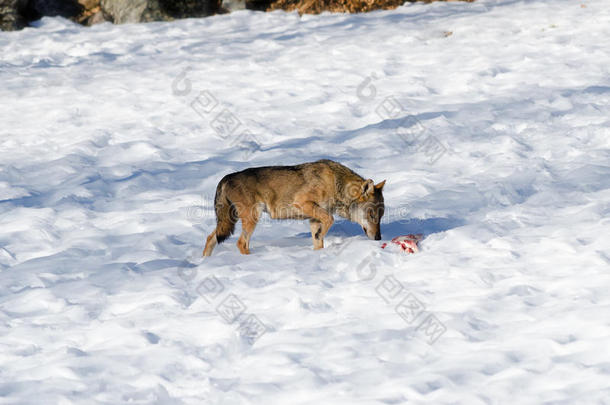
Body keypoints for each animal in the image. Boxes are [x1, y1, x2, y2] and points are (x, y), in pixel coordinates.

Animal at [204, 159, 384, 256]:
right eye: (372, 215)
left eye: (380, 217)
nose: (378, 238)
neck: (335, 183)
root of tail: (226, 177)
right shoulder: (303, 203)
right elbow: (330, 219)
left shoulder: (313, 219)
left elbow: (319, 241)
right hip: (252, 218)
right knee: (241, 243)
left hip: (230, 221)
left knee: (210, 238)